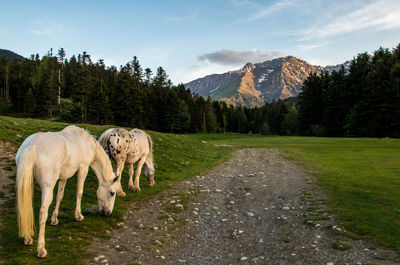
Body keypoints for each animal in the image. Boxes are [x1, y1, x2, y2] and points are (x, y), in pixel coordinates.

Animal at [16, 125, 119, 256]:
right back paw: (41, 249)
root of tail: (32, 146)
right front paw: (78, 216)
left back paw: (28, 238)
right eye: (112, 193)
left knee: (24, 206)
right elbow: (79, 192)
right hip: (47, 188)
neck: (86, 142)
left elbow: (59, 196)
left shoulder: (63, 177)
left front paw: (54, 219)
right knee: (42, 213)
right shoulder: (83, 168)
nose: (108, 213)